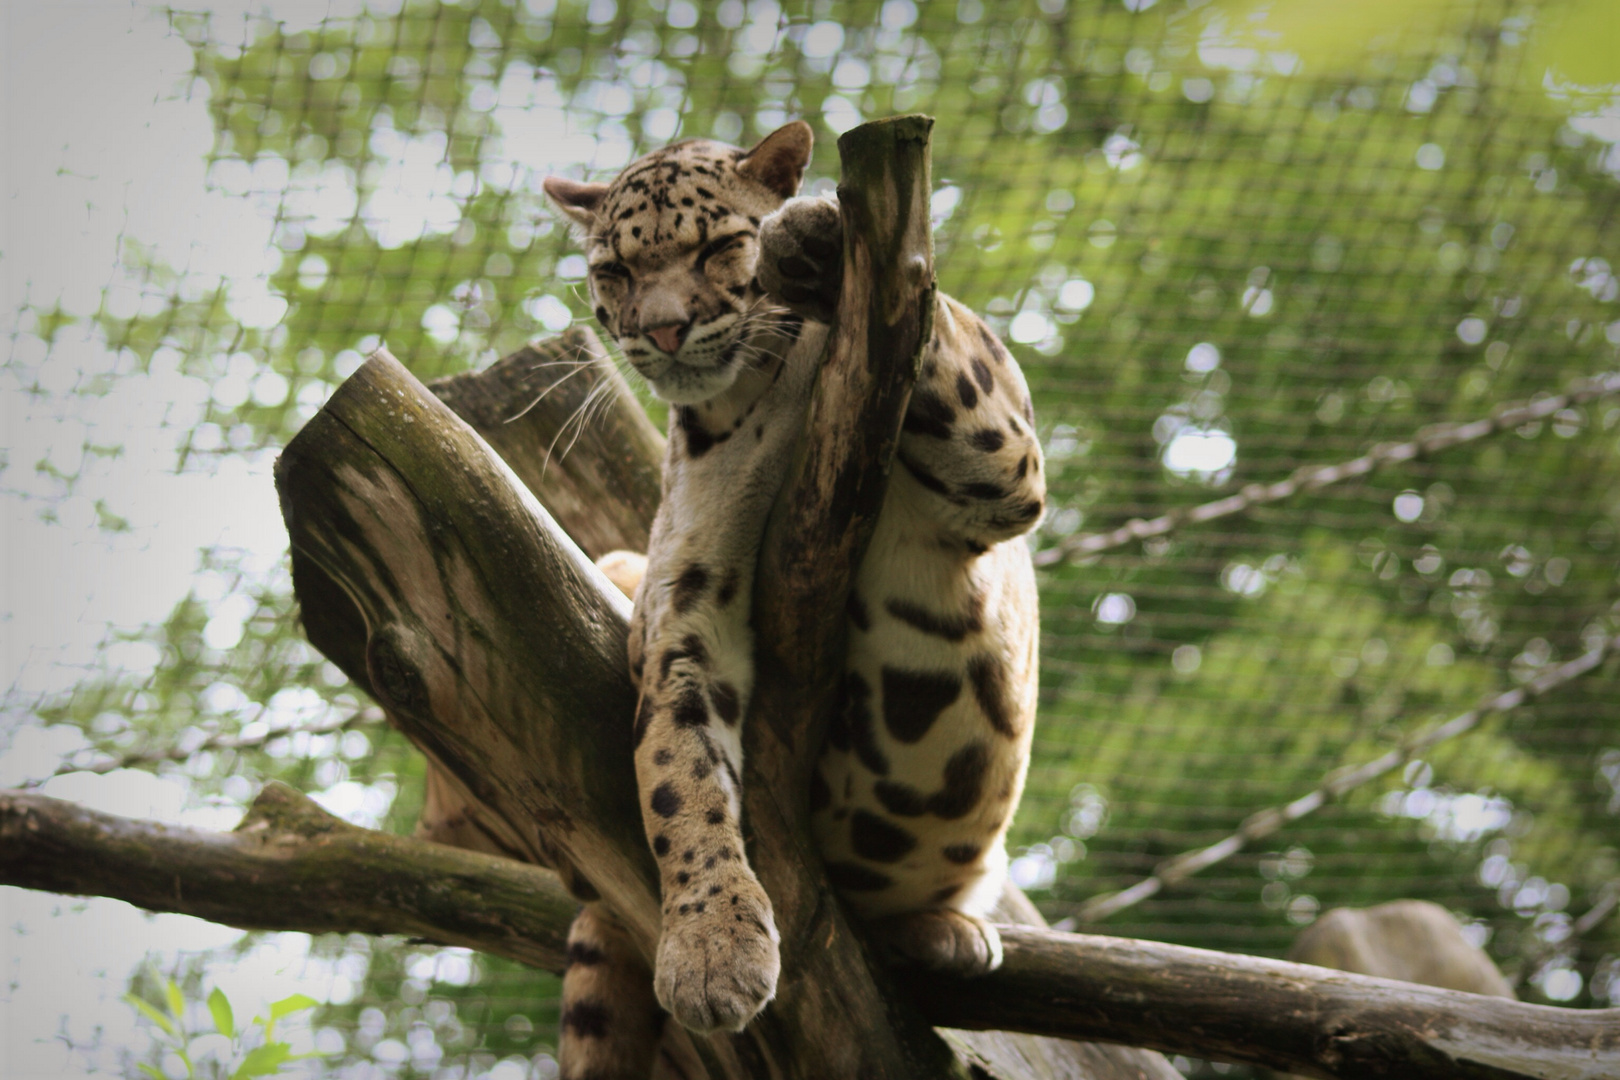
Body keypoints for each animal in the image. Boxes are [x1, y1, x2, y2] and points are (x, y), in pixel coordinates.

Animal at [544, 122, 1049, 1075]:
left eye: (715, 248)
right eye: (615, 272)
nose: (662, 329)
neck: (751, 395)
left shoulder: (999, 473)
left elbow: (942, 324)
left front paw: (810, 231)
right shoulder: (682, 607)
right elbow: (677, 776)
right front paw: (712, 948)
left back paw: (953, 932)